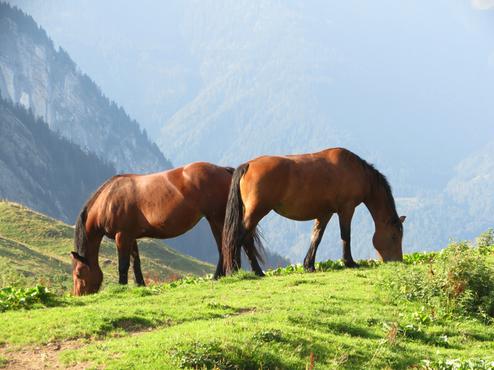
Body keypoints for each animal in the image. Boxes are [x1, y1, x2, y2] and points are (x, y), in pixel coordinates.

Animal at [71, 162, 264, 294]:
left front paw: (122, 287)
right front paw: (141, 286)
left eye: (79, 273)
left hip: (217, 218)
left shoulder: (122, 236)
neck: (108, 200)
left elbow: (123, 265)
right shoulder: (131, 237)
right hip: (216, 219)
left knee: (232, 243)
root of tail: (224, 170)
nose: (79, 295)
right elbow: (136, 263)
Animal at [223, 147, 406, 274]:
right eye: (394, 236)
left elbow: (316, 237)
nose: (397, 261)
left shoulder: (325, 214)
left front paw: (309, 265)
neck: (357, 172)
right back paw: (238, 270)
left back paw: (256, 271)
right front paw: (349, 262)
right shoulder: (346, 209)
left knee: (246, 240)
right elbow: (346, 236)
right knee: (240, 238)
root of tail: (248, 165)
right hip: (256, 212)